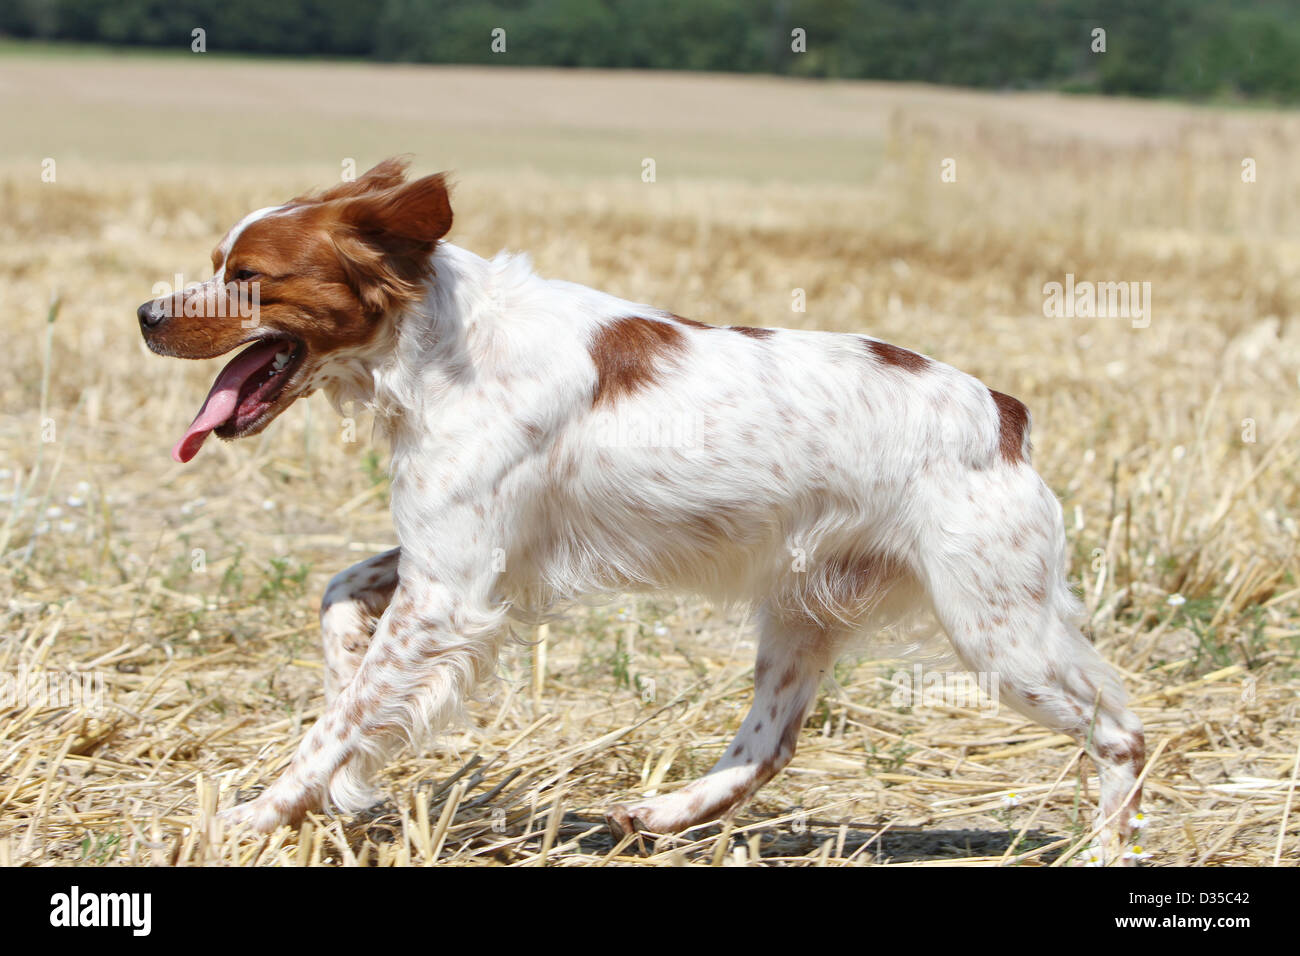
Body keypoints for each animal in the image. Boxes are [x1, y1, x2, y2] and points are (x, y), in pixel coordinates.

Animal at [137, 160, 1144, 863]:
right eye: (219, 263)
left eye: (250, 275)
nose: (146, 314)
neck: (443, 347)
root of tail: (1005, 414)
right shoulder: (453, 564)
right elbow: (340, 605)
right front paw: (348, 741)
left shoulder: (450, 591)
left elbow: (335, 725)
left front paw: (254, 813)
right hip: (806, 612)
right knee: (770, 743)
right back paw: (663, 812)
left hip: (997, 629)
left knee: (1124, 734)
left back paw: (1107, 849)